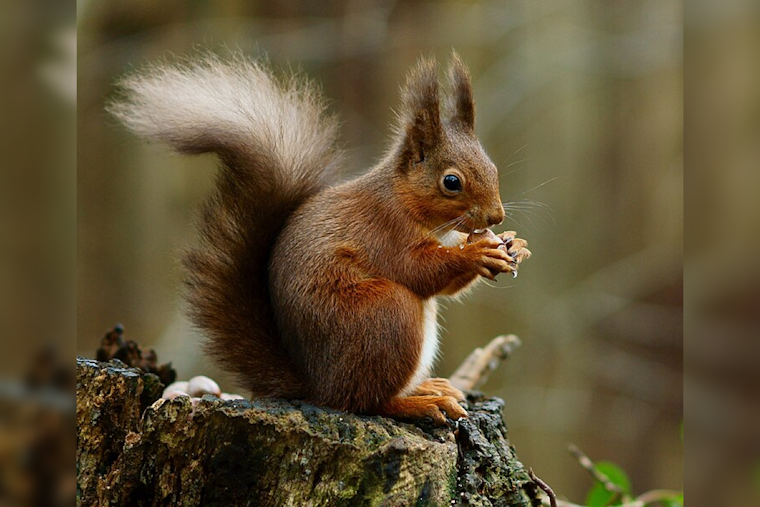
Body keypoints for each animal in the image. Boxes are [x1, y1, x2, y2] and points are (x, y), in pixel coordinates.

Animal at [109, 51, 531, 425]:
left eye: (492, 167)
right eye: (451, 182)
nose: (496, 216)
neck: (407, 202)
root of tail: (317, 386)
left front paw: (514, 244)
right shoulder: (384, 230)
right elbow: (419, 271)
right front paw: (477, 253)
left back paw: (429, 387)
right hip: (384, 315)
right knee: (365, 401)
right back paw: (418, 403)